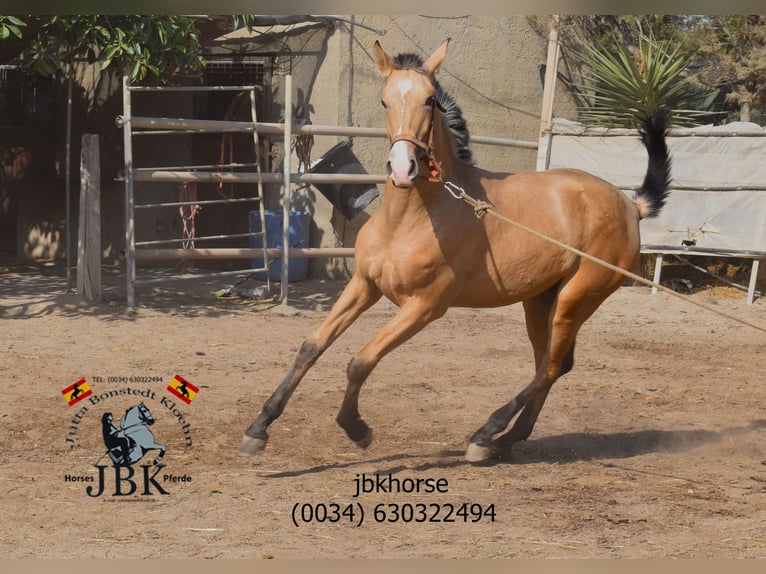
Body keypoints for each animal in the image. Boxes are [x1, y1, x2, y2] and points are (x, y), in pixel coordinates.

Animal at [240, 38, 672, 464]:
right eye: (383, 100)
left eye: (430, 100)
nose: (403, 169)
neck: (409, 220)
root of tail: (629, 205)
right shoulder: (364, 284)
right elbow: (311, 346)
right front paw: (258, 429)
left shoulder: (425, 306)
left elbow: (361, 361)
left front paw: (358, 430)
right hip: (540, 301)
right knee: (552, 364)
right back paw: (505, 441)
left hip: (577, 297)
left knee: (549, 368)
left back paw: (486, 435)